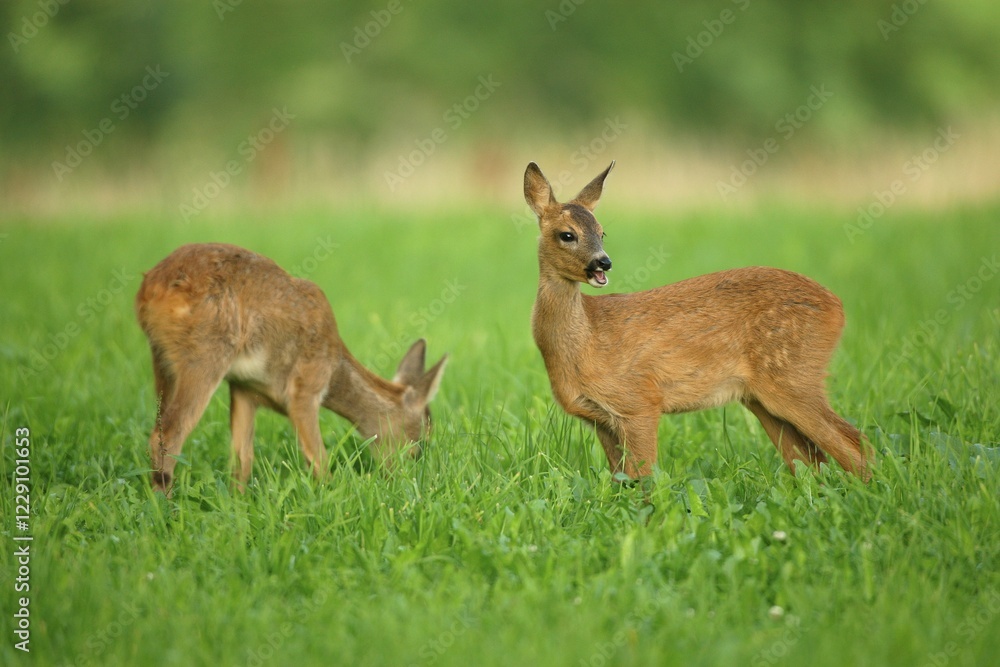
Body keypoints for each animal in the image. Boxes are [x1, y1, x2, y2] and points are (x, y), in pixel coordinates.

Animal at [135, 243, 448, 495]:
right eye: (419, 444)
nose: (404, 479)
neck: (335, 366)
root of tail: (149, 289)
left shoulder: (243, 388)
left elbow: (242, 460)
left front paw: (238, 504)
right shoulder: (305, 388)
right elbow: (318, 458)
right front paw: (333, 497)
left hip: (162, 361)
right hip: (204, 353)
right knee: (169, 435)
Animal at [524, 161, 870, 482]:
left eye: (601, 232)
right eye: (567, 234)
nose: (603, 263)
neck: (586, 340)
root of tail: (837, 306)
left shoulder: (640, 401)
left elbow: (644, 480)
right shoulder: (601, 419)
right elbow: (622, 481)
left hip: (795, 376)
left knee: (855, 443)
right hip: (761, 397)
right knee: (811, 460)